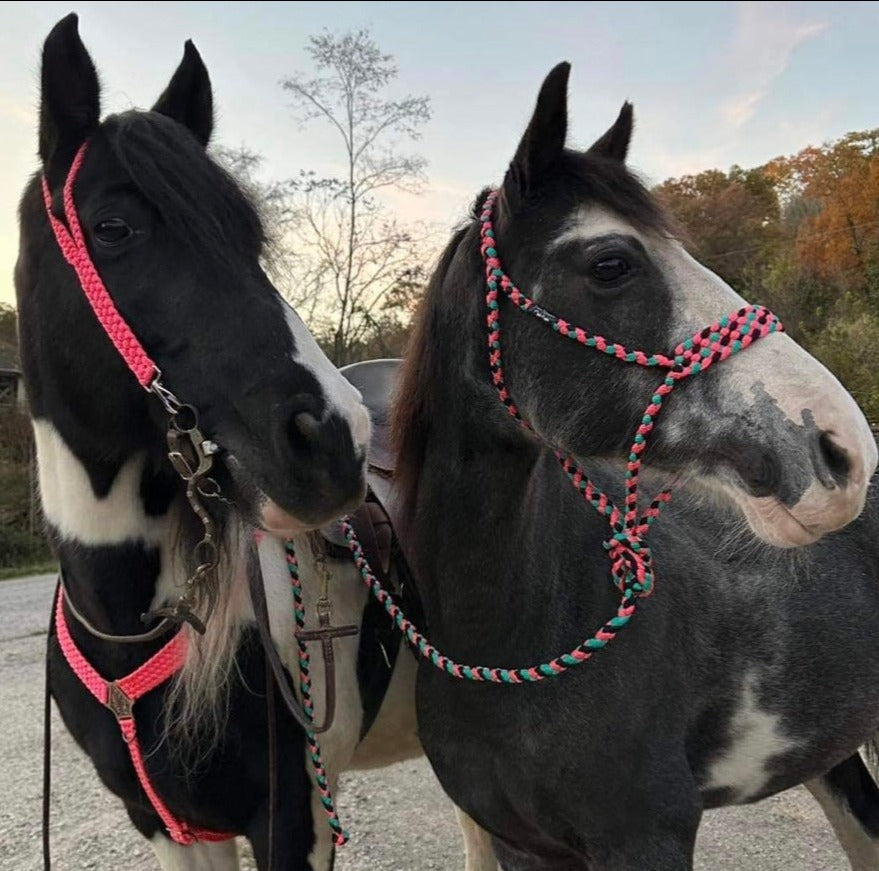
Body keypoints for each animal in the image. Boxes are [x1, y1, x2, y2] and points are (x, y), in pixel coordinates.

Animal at [19, 15, 446, 871]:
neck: (130, 630)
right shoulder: (171, 827)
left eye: (247, 236)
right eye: (113, 227)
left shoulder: (292, 819)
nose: (334, 440)